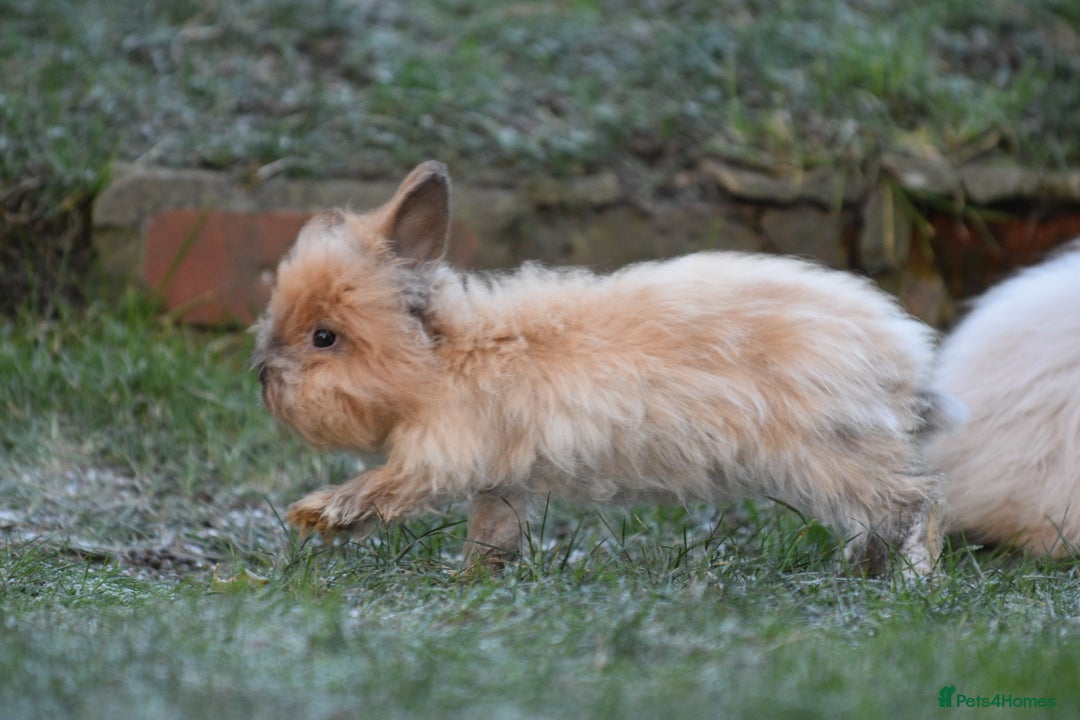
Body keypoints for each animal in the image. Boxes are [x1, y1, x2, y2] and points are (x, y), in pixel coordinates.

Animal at [252, 160, 960, 576]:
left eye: (324, 338)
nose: (262, 374)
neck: (446, 355)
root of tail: (903, 357)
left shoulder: (436, 456)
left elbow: (381, 489)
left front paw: (315, 514)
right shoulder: (498, 475)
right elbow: (492, 530)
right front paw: (474, 579)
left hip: (825, 452)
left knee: (915, 502)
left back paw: (911, 582)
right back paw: (859, 570)